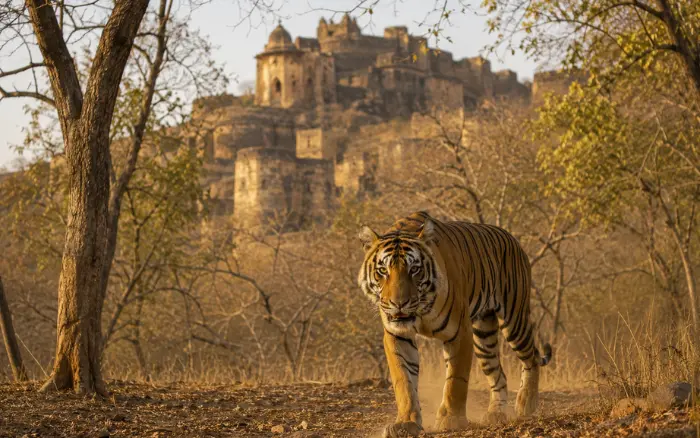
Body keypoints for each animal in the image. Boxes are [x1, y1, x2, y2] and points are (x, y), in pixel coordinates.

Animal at [357, 211, 552, 437]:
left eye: (414, 269)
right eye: (382, 270)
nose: (399, 303)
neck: (420, 311)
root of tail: (513, 239)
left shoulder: (460, 333)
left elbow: (456, 381)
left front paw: (451, 420)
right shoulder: (397, 335)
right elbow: (403, 382)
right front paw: (406, 423)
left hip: (514, 319)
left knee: (531, 358)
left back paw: (526, 404)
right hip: (484, 337)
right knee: (499, 373)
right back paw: (496, 413)